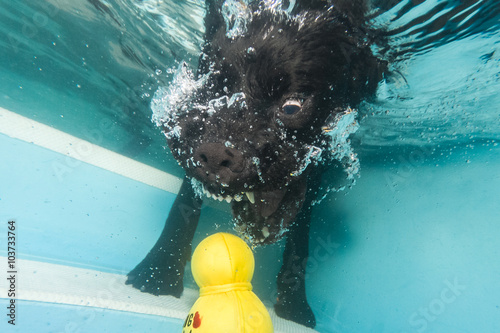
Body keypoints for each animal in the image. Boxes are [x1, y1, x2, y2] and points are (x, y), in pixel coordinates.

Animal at [127, 0, 384, 326]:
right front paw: (158, 273)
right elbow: (182, 208)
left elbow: (300, 238)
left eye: (292, 107)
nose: (214, 154)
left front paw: (294, 306)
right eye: (208, 87)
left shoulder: (318, 165)